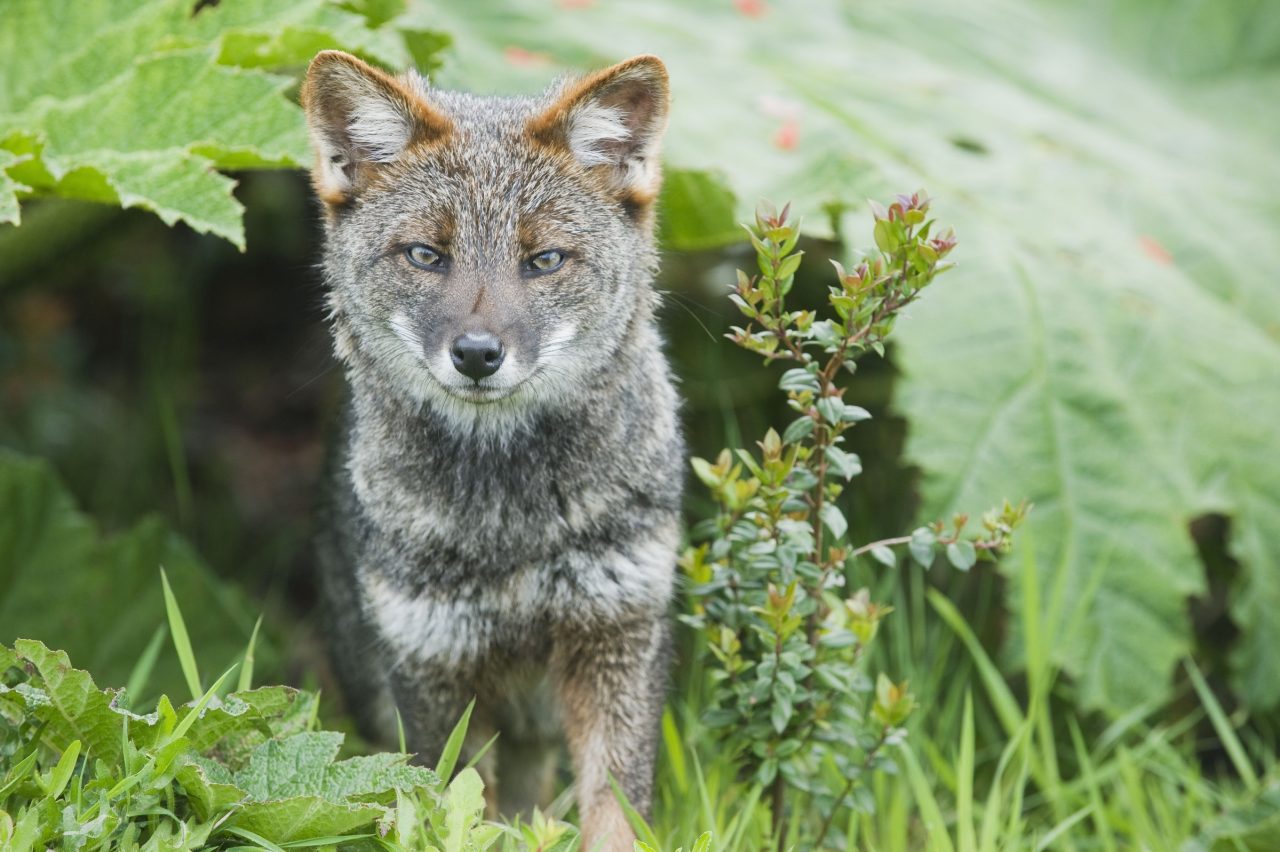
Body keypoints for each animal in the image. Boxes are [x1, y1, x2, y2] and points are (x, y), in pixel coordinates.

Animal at [302, 50, 684, 851]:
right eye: (426, 255)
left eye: (544, 260)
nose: (477, 354)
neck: (511, 527)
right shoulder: (436, 666)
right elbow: (454, 806)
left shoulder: (618, 635)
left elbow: (615, 811)